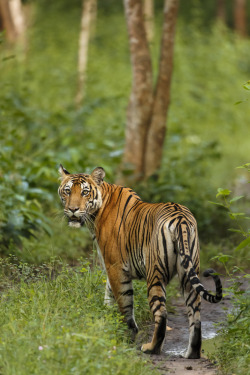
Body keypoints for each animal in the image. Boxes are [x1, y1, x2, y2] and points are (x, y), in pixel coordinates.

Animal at [58, 166, 223, 360]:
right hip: (188, 274)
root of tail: (181, 218)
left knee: (161, 313)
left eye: (85, 192)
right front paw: (107, 321)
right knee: (195, 315)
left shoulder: (115, 266)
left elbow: (124, 303)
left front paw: (125, 336)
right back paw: (191, 353)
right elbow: (109, 295)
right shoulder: (111, 267)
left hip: (155, 274)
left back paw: (151, 348)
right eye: (68, 191)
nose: (73, 209)